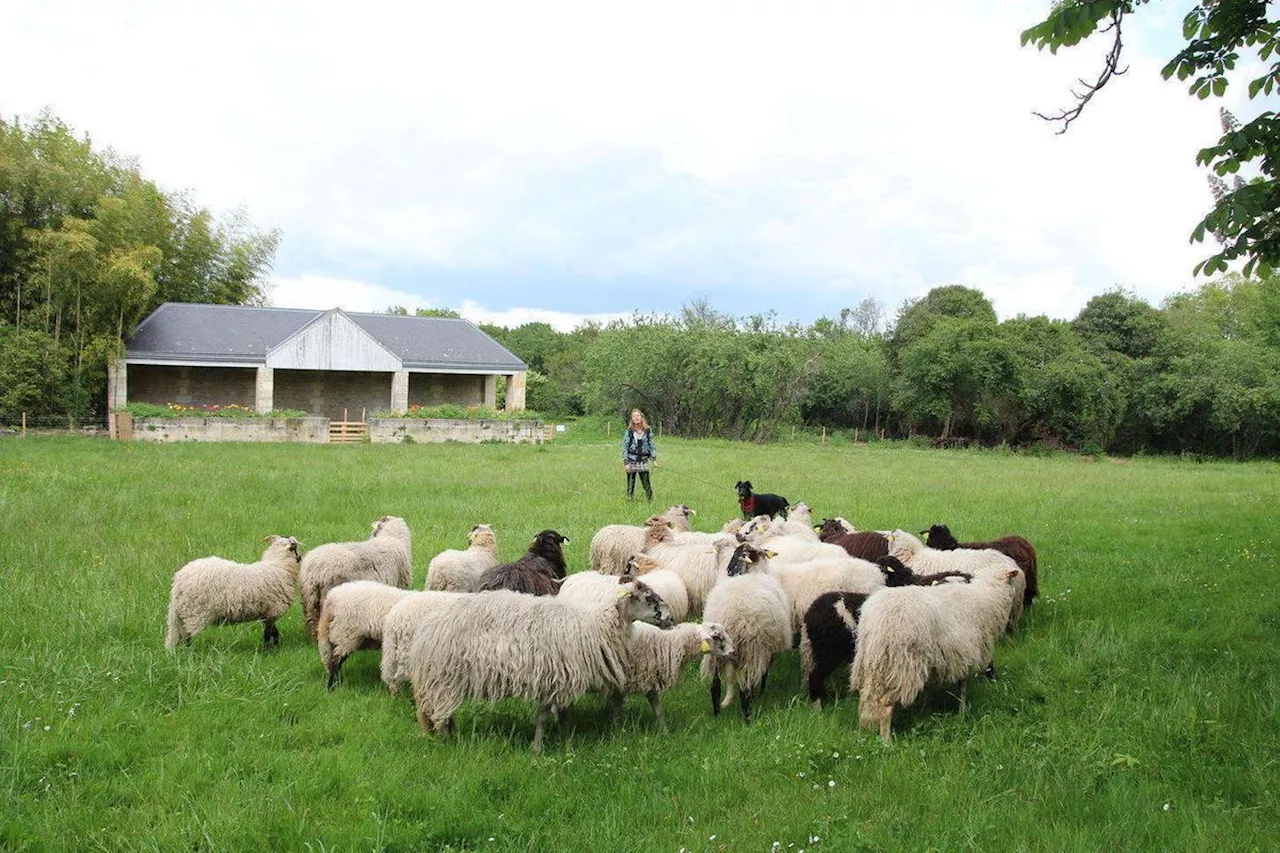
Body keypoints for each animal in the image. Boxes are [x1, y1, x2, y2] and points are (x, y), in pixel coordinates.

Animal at [165, 535, 302, 648]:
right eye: (295, 548)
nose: (300, 557)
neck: (278, 565)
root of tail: (178, 581)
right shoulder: (273, 610)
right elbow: (269, 634)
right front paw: (269, 650)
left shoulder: (267, 613)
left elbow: (273, 632)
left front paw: (274, 647)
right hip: (195, 612)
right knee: (188, 636)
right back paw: (190, 652)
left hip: (184, 612)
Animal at [409, 578, 675, 753]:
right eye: (649, 597)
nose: (671, 618)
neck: (597, 624)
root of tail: (427, 629)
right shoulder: (555, 678)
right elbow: (546, 717)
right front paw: (539, 748)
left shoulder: (556, 679)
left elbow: (558, 715)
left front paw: (563, 739)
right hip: (445, 678)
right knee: (440, 715)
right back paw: (448, 743)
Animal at [844, 563, 1024, 737]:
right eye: (1011, 580)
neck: (988, 595)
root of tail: (877, 620)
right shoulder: (967, 653)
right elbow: (963, 687)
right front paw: (962, 712)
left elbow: (929, 689)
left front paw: (925, 710)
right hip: (902, 664)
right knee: (885, 702)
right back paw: (886, 740)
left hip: (871, 661)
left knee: (867, 696)